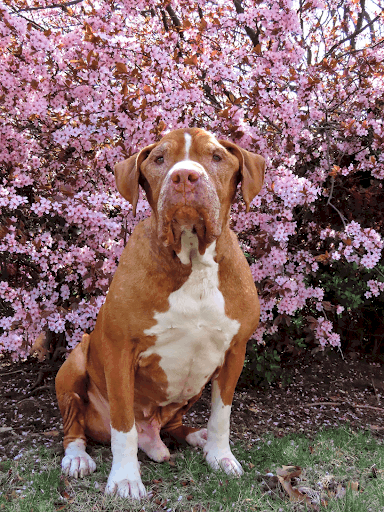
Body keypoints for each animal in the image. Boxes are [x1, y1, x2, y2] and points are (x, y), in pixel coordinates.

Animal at [55, 128, 264, 500]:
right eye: (158, 159)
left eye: (216, 157)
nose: (184, 176)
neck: (192, 259)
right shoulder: (119, 351)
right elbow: (123, 426)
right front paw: (125, 478)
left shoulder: (235, 350)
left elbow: (221, 415)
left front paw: (221, 455)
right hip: (75, 360)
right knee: (75, 426)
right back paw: (77, 457)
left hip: (192, 389)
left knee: (174, 424)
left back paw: (196, 437)